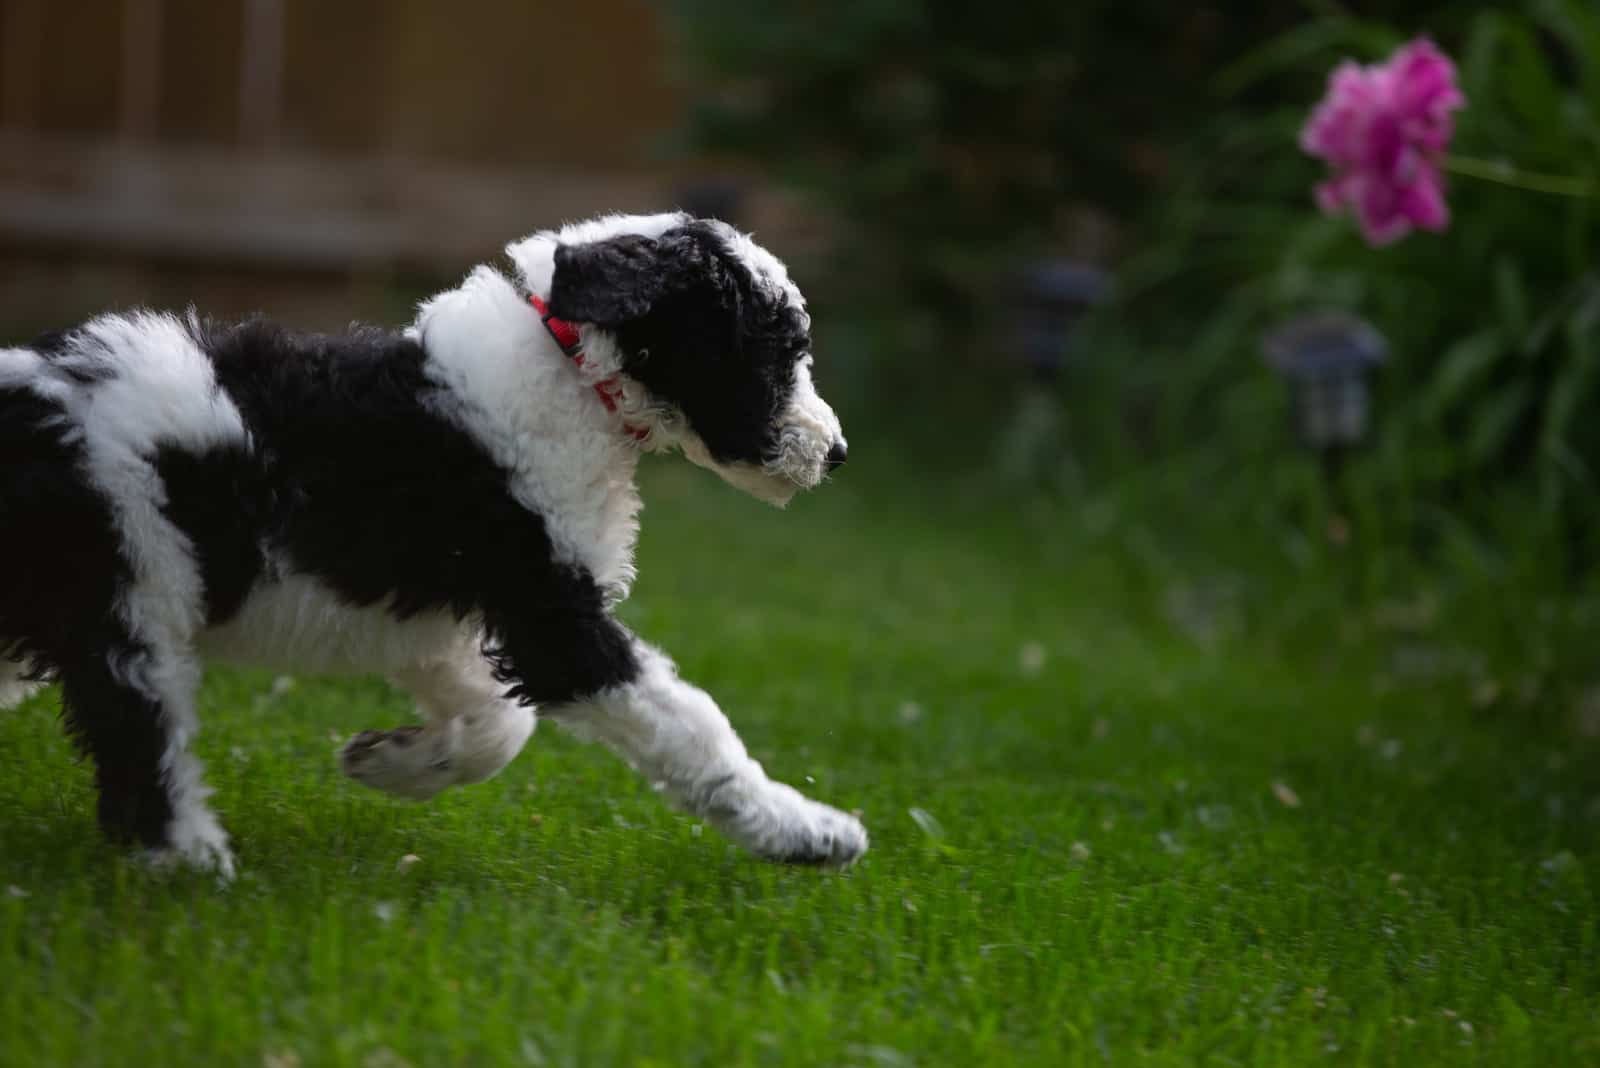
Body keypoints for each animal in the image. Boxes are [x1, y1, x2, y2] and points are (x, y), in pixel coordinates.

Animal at [0, 211, 870, 876]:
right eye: (775, 349)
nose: (836, 454)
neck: (570, 363)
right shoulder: (551, 613)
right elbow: (688, 723)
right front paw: (809, 832)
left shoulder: (427, 616)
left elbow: (498, 725)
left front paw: (390, 762)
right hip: (133, 587)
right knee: (140, 736)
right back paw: (195, 865)